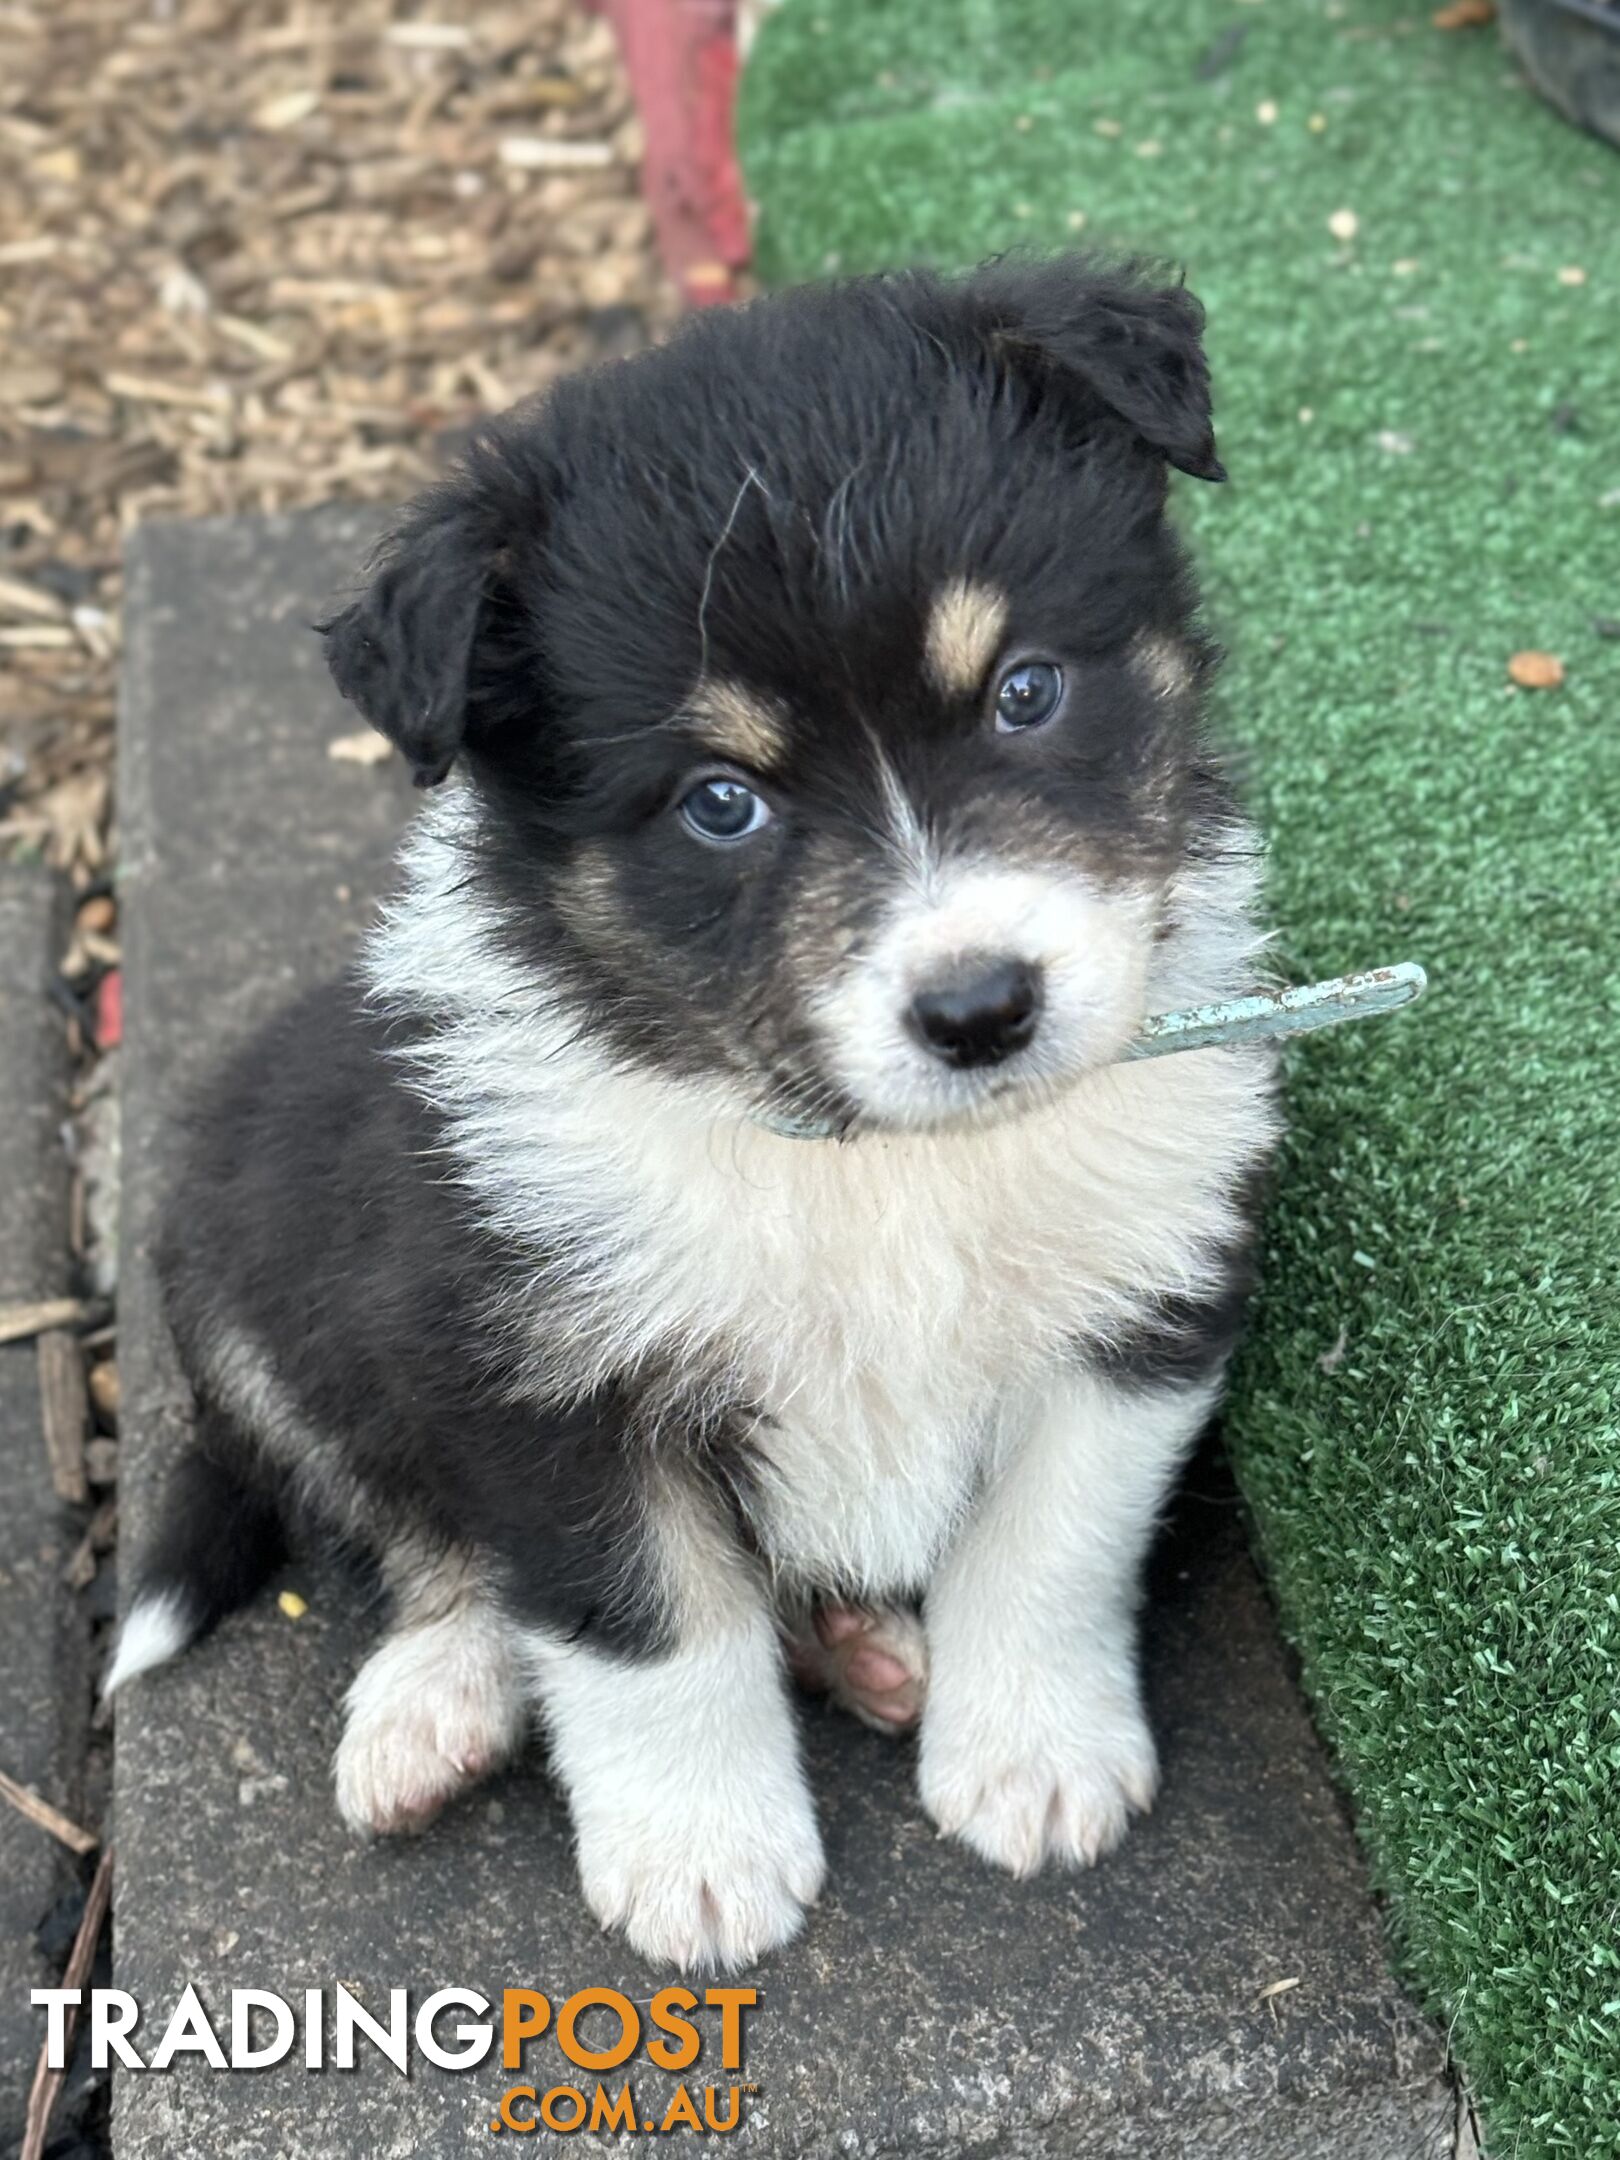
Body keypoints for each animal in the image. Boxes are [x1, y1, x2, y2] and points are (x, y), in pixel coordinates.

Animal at [108, 257, 1287, 1978]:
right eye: (719, 803)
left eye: (1027, 692)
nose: (981, 1010)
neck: (867, 1157)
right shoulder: (540, 1369)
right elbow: (647, 1625)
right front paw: (704, 1863)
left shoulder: (1145, 1292)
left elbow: (1050, 1542)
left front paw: (1035, 1761)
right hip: (247, 1252)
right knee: (399, 1528)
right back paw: (438, 1700)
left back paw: (868, 1650)